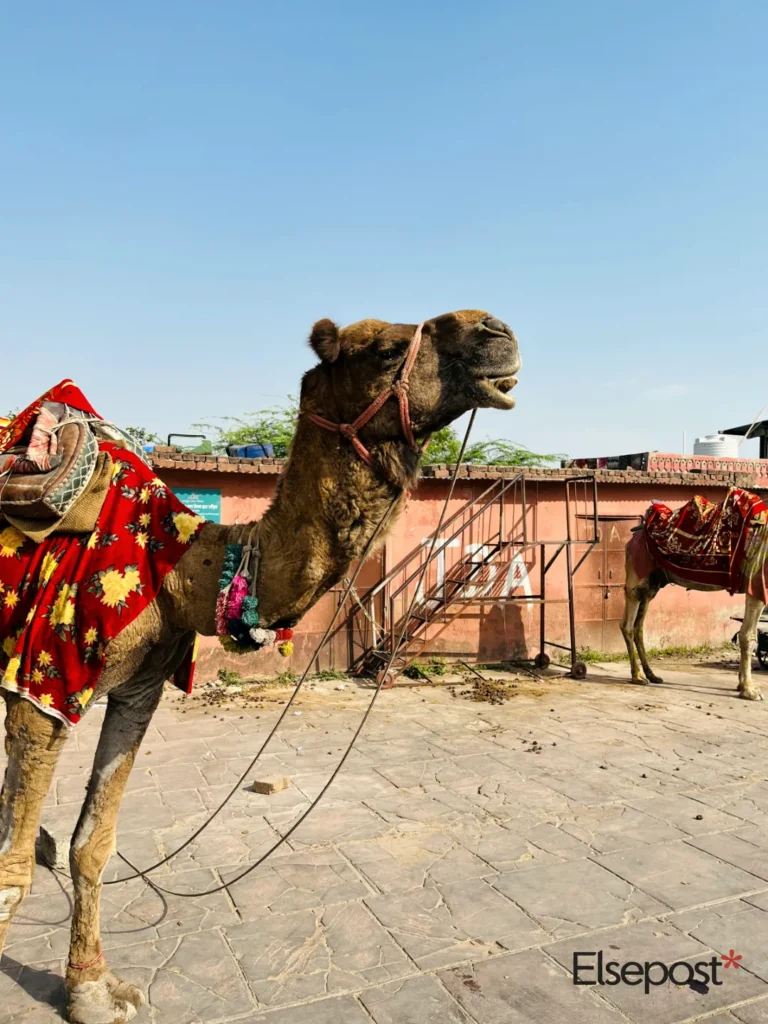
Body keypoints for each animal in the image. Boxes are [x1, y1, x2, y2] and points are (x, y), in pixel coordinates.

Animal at [0, 309, 520, 1023]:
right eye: (386, 349)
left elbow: (94, 844)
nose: (496, 331)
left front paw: (93, 992)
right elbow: (12, 873)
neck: (179, 567)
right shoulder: (45, 682)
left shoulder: (137, 691)